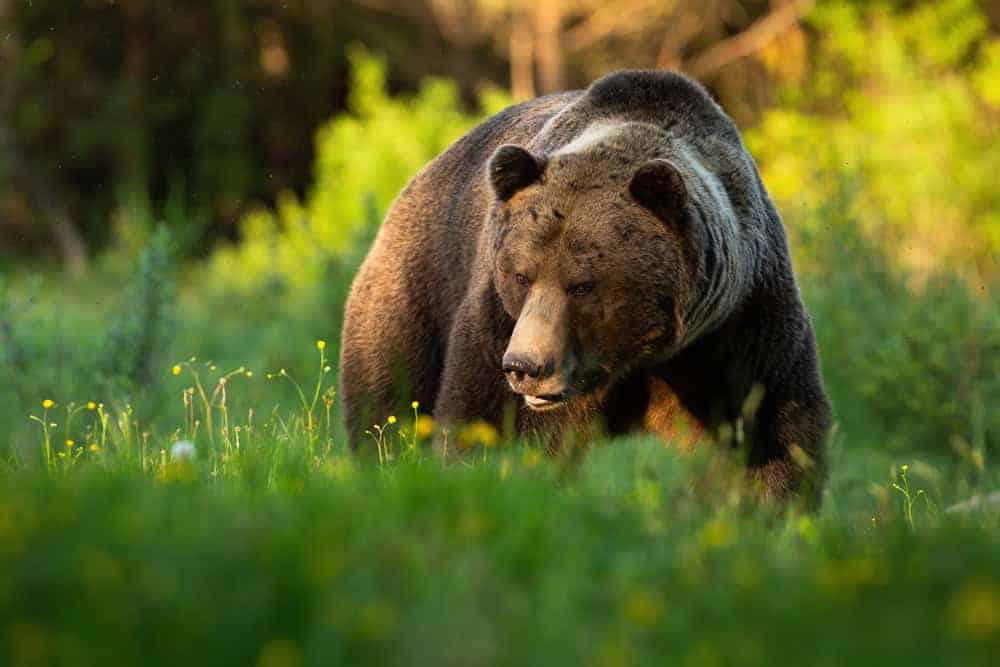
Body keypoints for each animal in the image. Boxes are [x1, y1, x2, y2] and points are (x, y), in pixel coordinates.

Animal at [339, 70, 831, 502]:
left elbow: (771, 431)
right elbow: (491, 421)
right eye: (521, 275)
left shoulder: (739, 326)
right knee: (388, 402)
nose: (525, 367)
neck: (643, 356)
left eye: (582, 285)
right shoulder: (497, 321)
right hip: (415, 291)